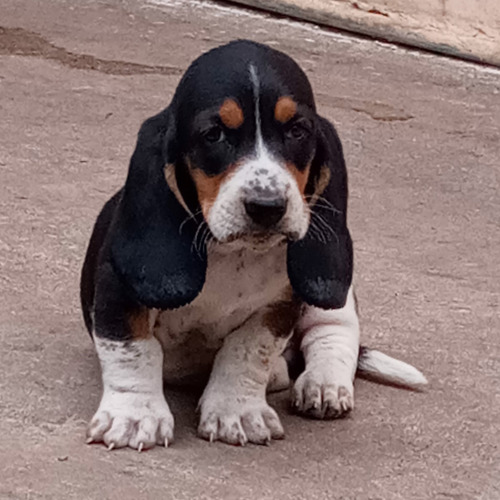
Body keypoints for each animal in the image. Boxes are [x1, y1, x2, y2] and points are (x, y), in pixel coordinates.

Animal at [81, 41, 426, 452]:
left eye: (297, 130)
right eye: (213, 134)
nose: (268, 206)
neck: (234, 253)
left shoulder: (278, 306)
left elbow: (246, 352)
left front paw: (236, 412)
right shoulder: (119, 288)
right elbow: (133, 351)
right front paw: (135, 416)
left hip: (332, 299)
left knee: (333, 333)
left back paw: (323, 384)